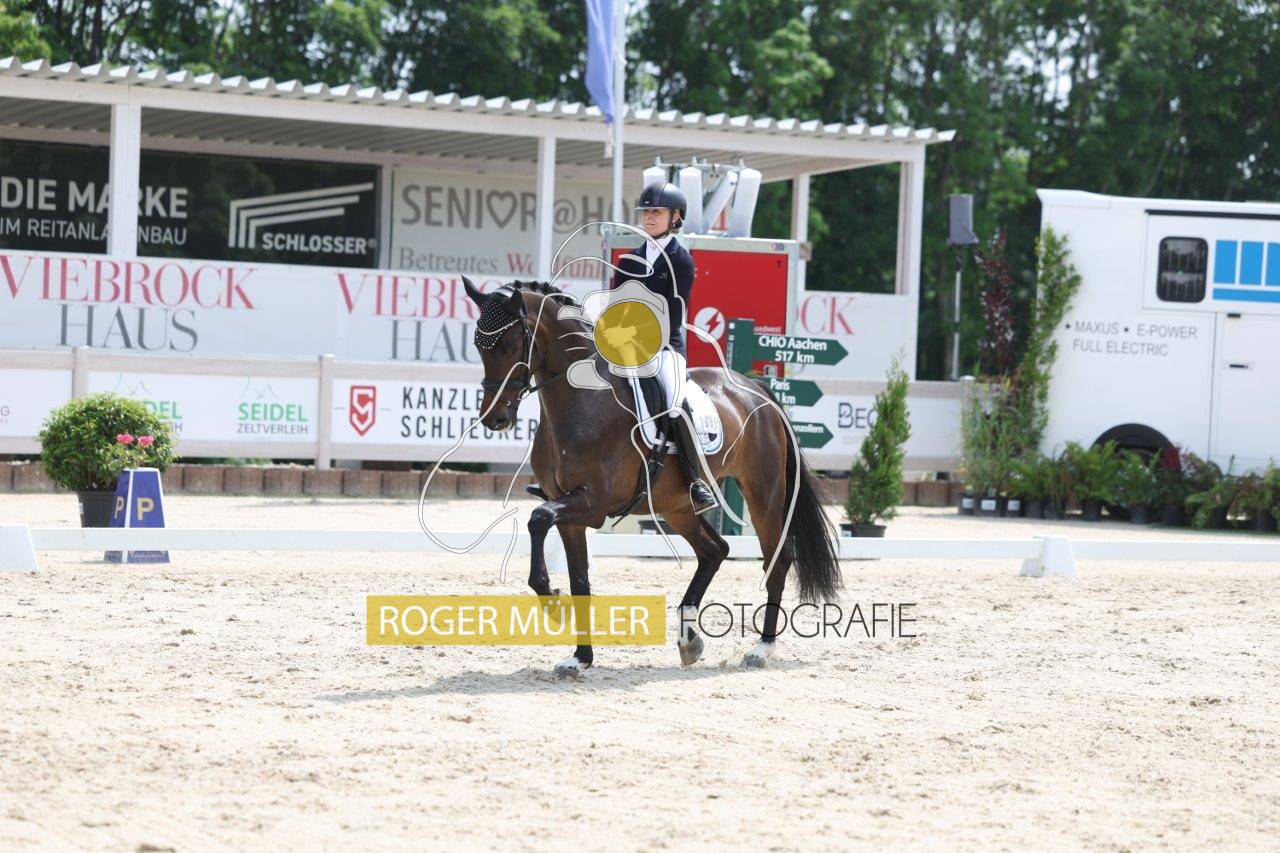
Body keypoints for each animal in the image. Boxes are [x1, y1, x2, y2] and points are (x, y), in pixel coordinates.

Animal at [462, 277, 840, 675]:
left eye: (510, 345)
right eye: (478, 345)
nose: (495, 419)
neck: (581, 401)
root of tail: (755, 389)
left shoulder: (592, 504)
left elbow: (538, 518)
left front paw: (551, 599)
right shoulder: (570, 513)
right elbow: (578, 578)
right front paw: (580, 657)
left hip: (763, 494)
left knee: (776, 561)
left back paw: (761, 649)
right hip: (677, 506)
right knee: (715, 550)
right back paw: (689, 641)